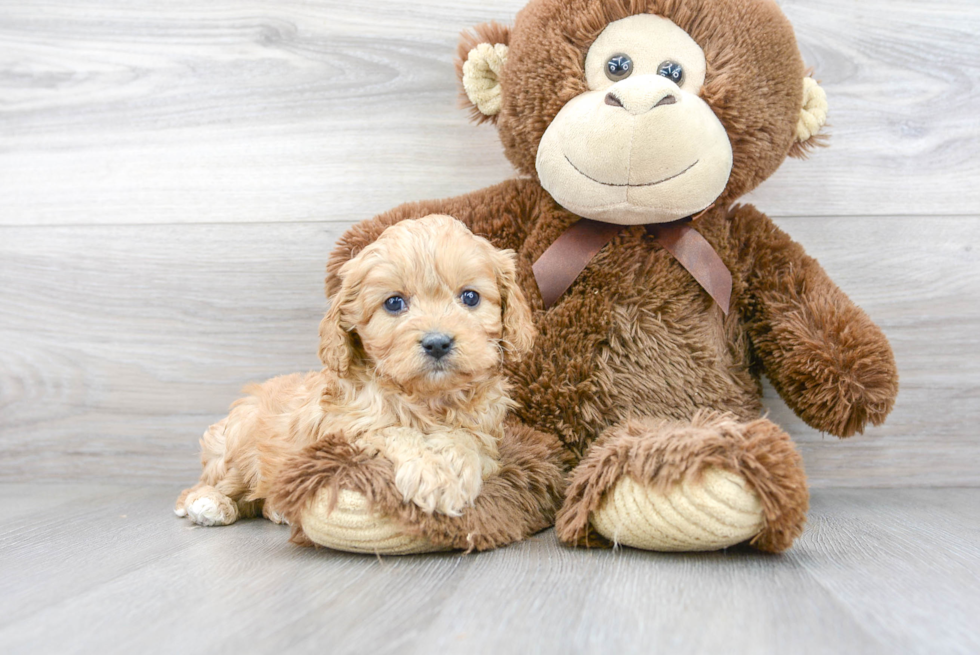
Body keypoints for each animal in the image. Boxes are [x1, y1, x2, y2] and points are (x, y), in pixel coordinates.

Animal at [176, 215, 536, 528]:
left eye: (470, 297)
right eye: (394, 303)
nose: (437, 343)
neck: (428, 398)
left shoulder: (486, 434)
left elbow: (465, 438)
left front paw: (451, 467)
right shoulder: (344, 428)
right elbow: (392, 430)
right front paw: (432, 473)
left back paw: (278, 508)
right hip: (240, 444)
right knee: (210, 486)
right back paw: (209, 504)